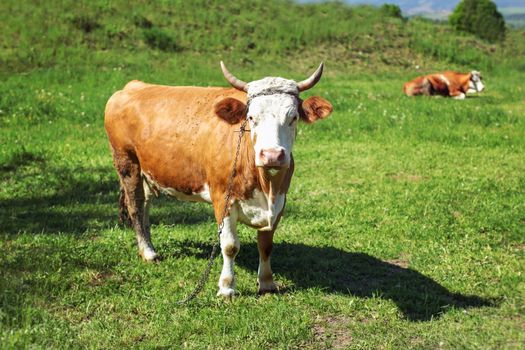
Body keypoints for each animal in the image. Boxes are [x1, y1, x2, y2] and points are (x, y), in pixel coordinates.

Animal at [104, 61, 332, 296]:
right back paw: (148, 252)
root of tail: (134, 86)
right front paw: (226, 287)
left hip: (148, 171)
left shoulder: (279, 200)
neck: (265, 185)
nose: (272, 155)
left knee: (145, 205)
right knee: (135, 206)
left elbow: (266, 244)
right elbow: (230, 246)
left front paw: (267, 282)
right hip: (126, 162)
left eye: (293, 117)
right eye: (252, 118)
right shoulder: (223, 197)